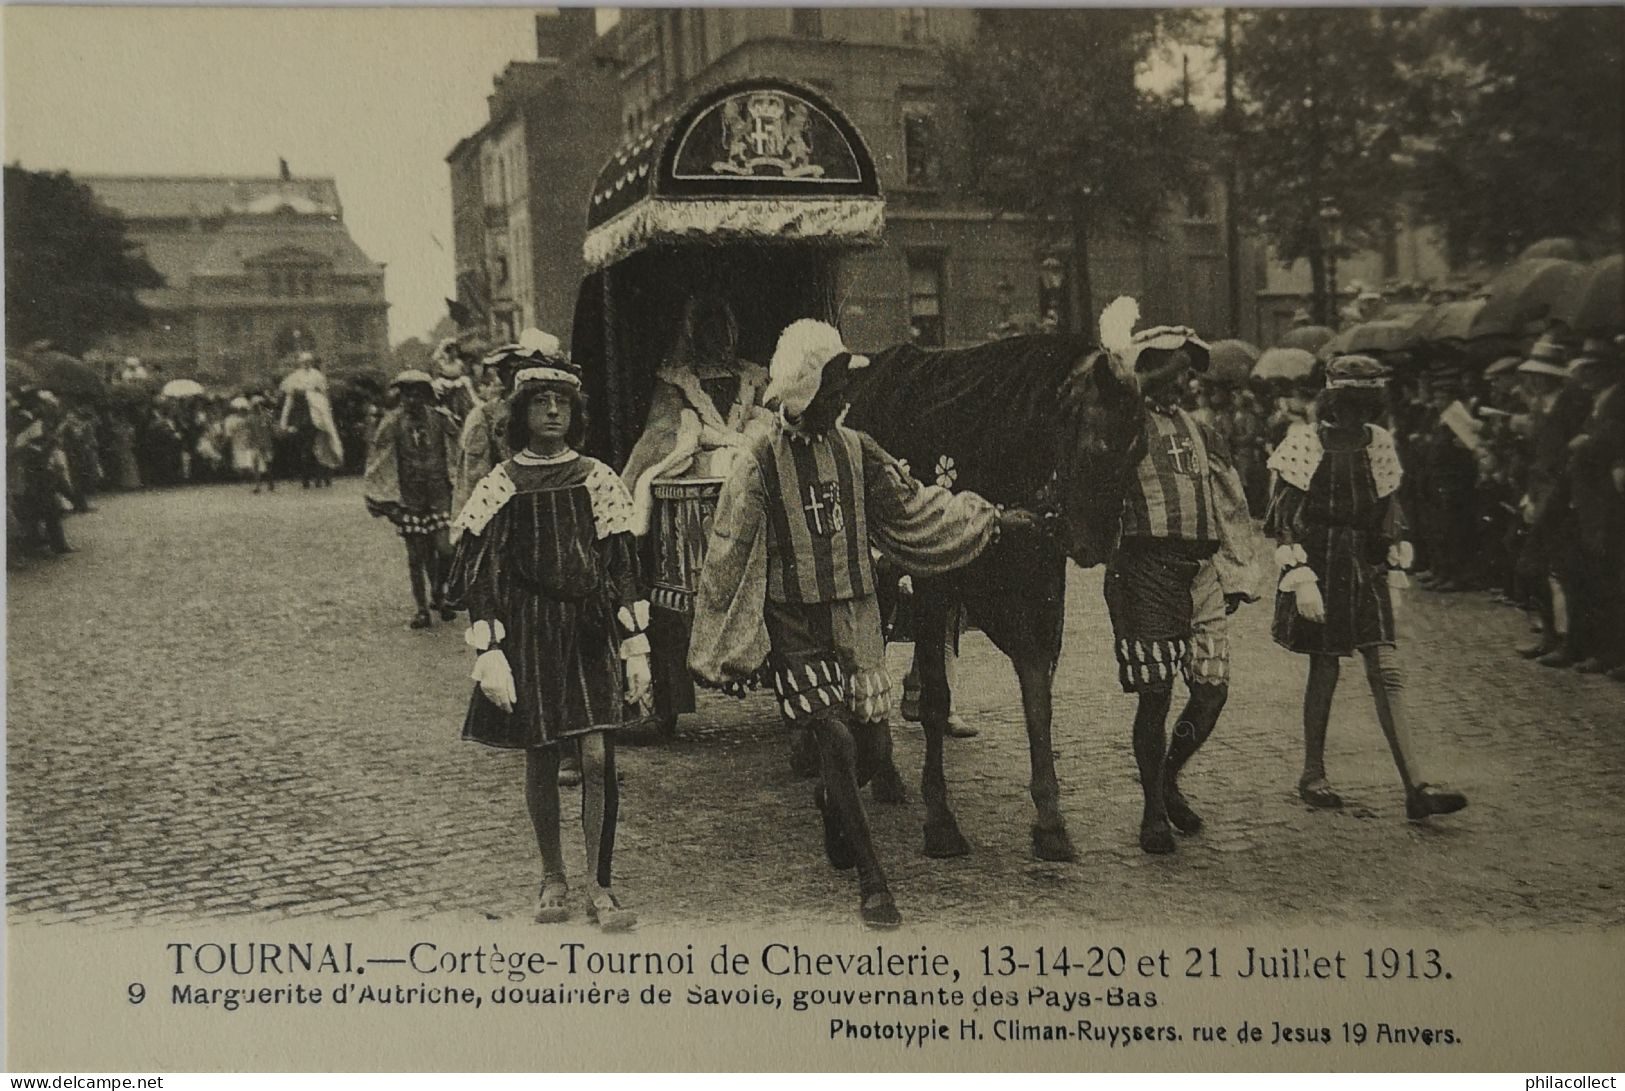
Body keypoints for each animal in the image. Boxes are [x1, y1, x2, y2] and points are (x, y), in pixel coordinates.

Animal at [845, 333, 1150, 864]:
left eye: (1140, 452)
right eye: (1099, 447)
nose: (1094, 544)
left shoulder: (1035, 584)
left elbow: (1037, 691)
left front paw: (1049, 818)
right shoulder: (933, 581)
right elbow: (936, 697)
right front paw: (940, 817)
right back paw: (880, 766)